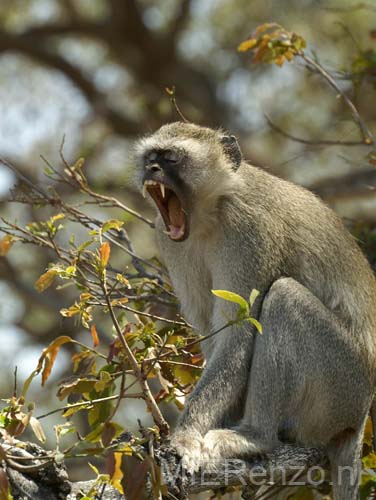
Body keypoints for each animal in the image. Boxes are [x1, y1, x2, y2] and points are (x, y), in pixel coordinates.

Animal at [134, 122, 376, 500]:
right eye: (150, 157)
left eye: (171, 158)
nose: (152, 170)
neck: (214, 209)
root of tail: (360, 415)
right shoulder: (168, 235)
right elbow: (213, 336)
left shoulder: (249, 231)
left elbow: (238, 334)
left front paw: (185, 438)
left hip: (343, 386)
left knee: (284, 298)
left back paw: (255, 437)